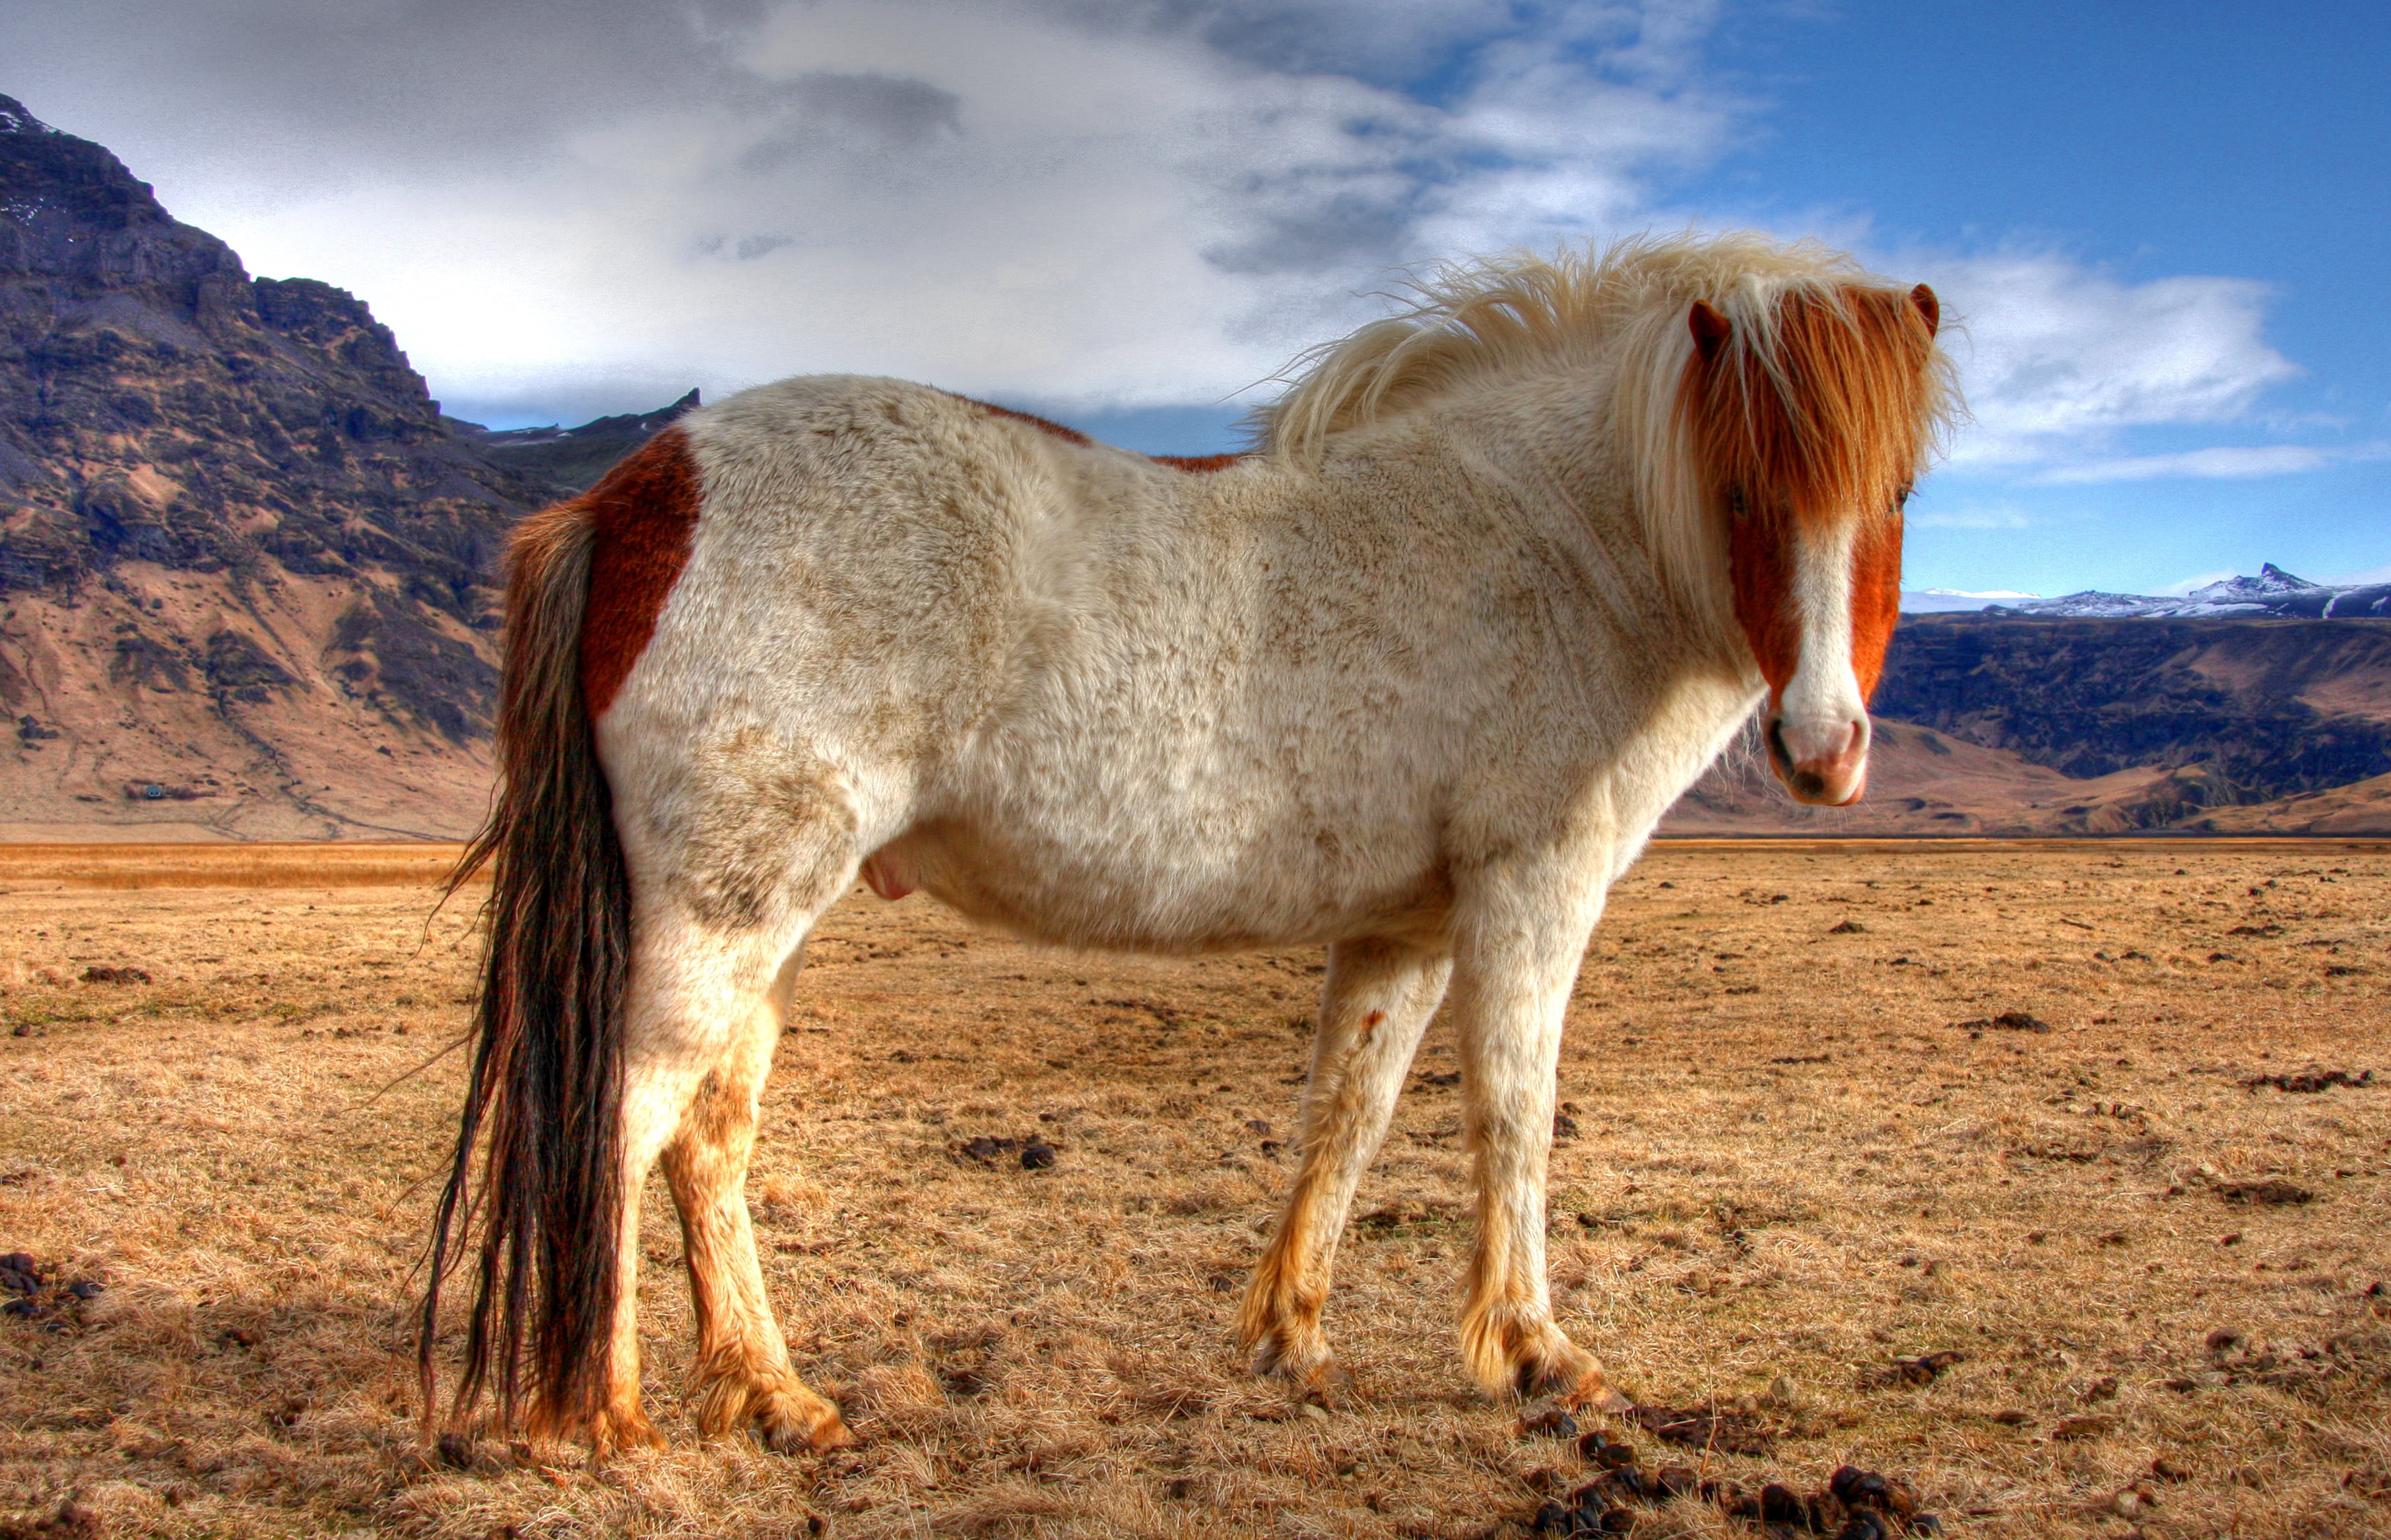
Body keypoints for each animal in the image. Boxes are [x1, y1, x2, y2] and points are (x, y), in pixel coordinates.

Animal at [420, 231, 1954, 1454]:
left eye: (1892, 497)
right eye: (1743, 494)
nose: (1824, 751)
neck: (1550, 541)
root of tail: (632, 494)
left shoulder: (1402, 921)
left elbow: (1348, 1110)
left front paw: (1290, 1338)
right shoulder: (1531, 887)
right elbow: (1512, 1114)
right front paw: (1535, 1353)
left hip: (767, 920)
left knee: (709, 1136)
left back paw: (776, 1396)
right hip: (720, 909)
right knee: (625, 1122)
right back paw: (601, 1415)